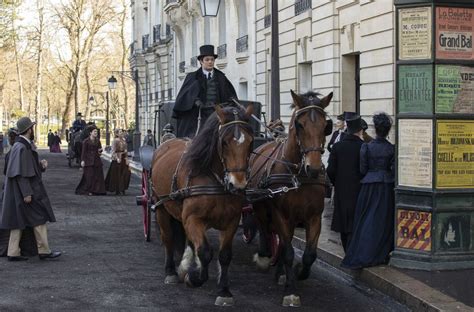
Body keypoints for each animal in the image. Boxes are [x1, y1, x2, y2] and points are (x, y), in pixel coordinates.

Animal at [152, 102, 256, 304]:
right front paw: (194, 278)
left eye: (250, 142)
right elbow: (205, 252)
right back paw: (171, 271)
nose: (238, 184)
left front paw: (224, 290)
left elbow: (224, 255)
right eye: (224, 142)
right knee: (168, 238)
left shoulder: (231, 221)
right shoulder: (193, 219)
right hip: (161, 207)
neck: (216, 181)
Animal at [250, 89, 332, 306]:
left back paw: (280, 272)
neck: (298, 175)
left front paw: (298, 271)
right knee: (263, 229)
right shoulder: (281, 215)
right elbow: (288, 251)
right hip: (260, 206)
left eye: (325, 126)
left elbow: (310, 255)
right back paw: (265, 257)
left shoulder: (313, 217)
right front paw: (291, 290)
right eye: (300, 124)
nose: (313, 168)